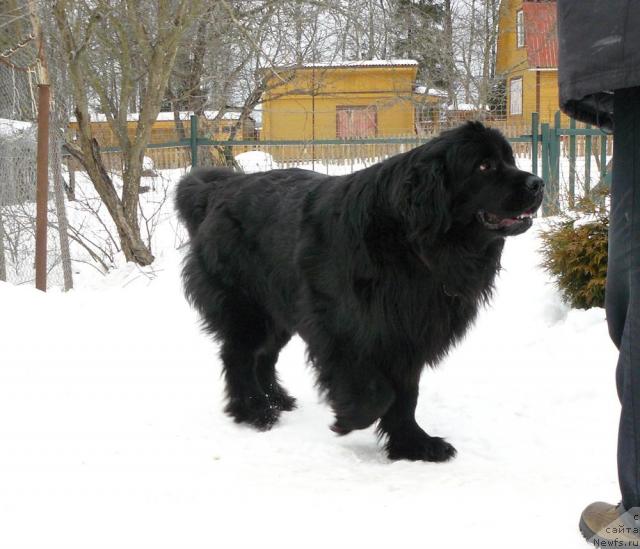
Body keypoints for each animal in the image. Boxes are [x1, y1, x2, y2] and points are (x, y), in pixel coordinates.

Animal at [176, 122, 544, 460]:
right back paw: (254, 411)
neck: (412, 243)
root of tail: (219, 189)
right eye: (483, 166)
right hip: (246, 306)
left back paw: (277, 400)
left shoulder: (408, 332)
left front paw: (414, 444)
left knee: (263, 355)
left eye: (509, 159)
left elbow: (406, 395)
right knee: (238, 355)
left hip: (279, 307)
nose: (538, 183)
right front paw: (351, 417)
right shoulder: (343, 329)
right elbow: (378, 391)